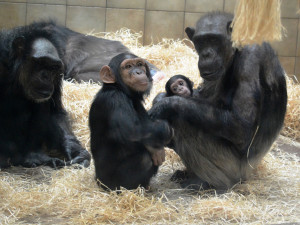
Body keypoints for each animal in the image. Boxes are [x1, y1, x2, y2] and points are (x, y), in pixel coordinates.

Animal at [0, 26, 91, 167]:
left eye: (53, 67)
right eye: (40, 62)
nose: (46, 76)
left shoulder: (58, 74)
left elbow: (55, 111)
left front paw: (76, 151)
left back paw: (33, 155)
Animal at [89, 53, 173, 192]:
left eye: (139, 64)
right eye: (128, 66)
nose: (138, 72)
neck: (120, 89)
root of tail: (97, 181)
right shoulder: (114, 100)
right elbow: (133, 130)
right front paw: (165, 131)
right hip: (108, 184)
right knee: (145, 160)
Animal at [149, 11, 288, 191]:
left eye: (214, 40)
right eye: (201, 41)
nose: (206, 54)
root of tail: (250, 173)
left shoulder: (249, 60)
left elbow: (240, 125)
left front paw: (167, 104)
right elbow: (202, 92)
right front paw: (160, 97)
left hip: (231, 167)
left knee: (182, 122)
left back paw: (204, 182)